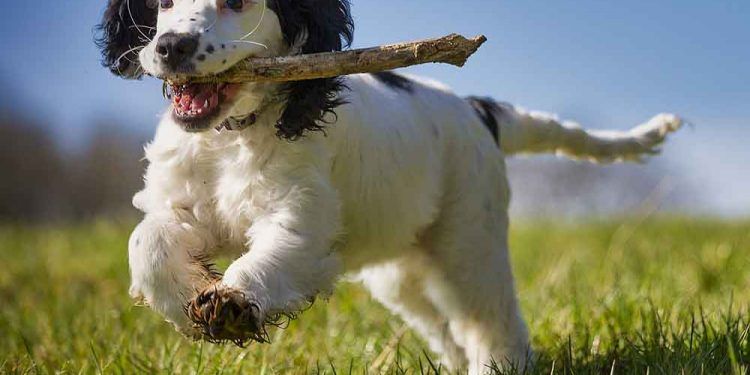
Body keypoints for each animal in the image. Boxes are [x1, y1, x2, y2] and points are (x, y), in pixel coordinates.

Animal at [97, 0, 684, 370]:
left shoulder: (300, 218)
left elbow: (270, 257)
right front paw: (188, 302)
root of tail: (478, 109)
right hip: (402, 273)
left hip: (468, 242)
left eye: (236, 1)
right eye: (163, 1)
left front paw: (232, 303)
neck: (233, 134)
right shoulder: (181, 204)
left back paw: (498, 365)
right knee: (448, 330)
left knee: (492, 322)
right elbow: (147, 241)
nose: (170, 47)